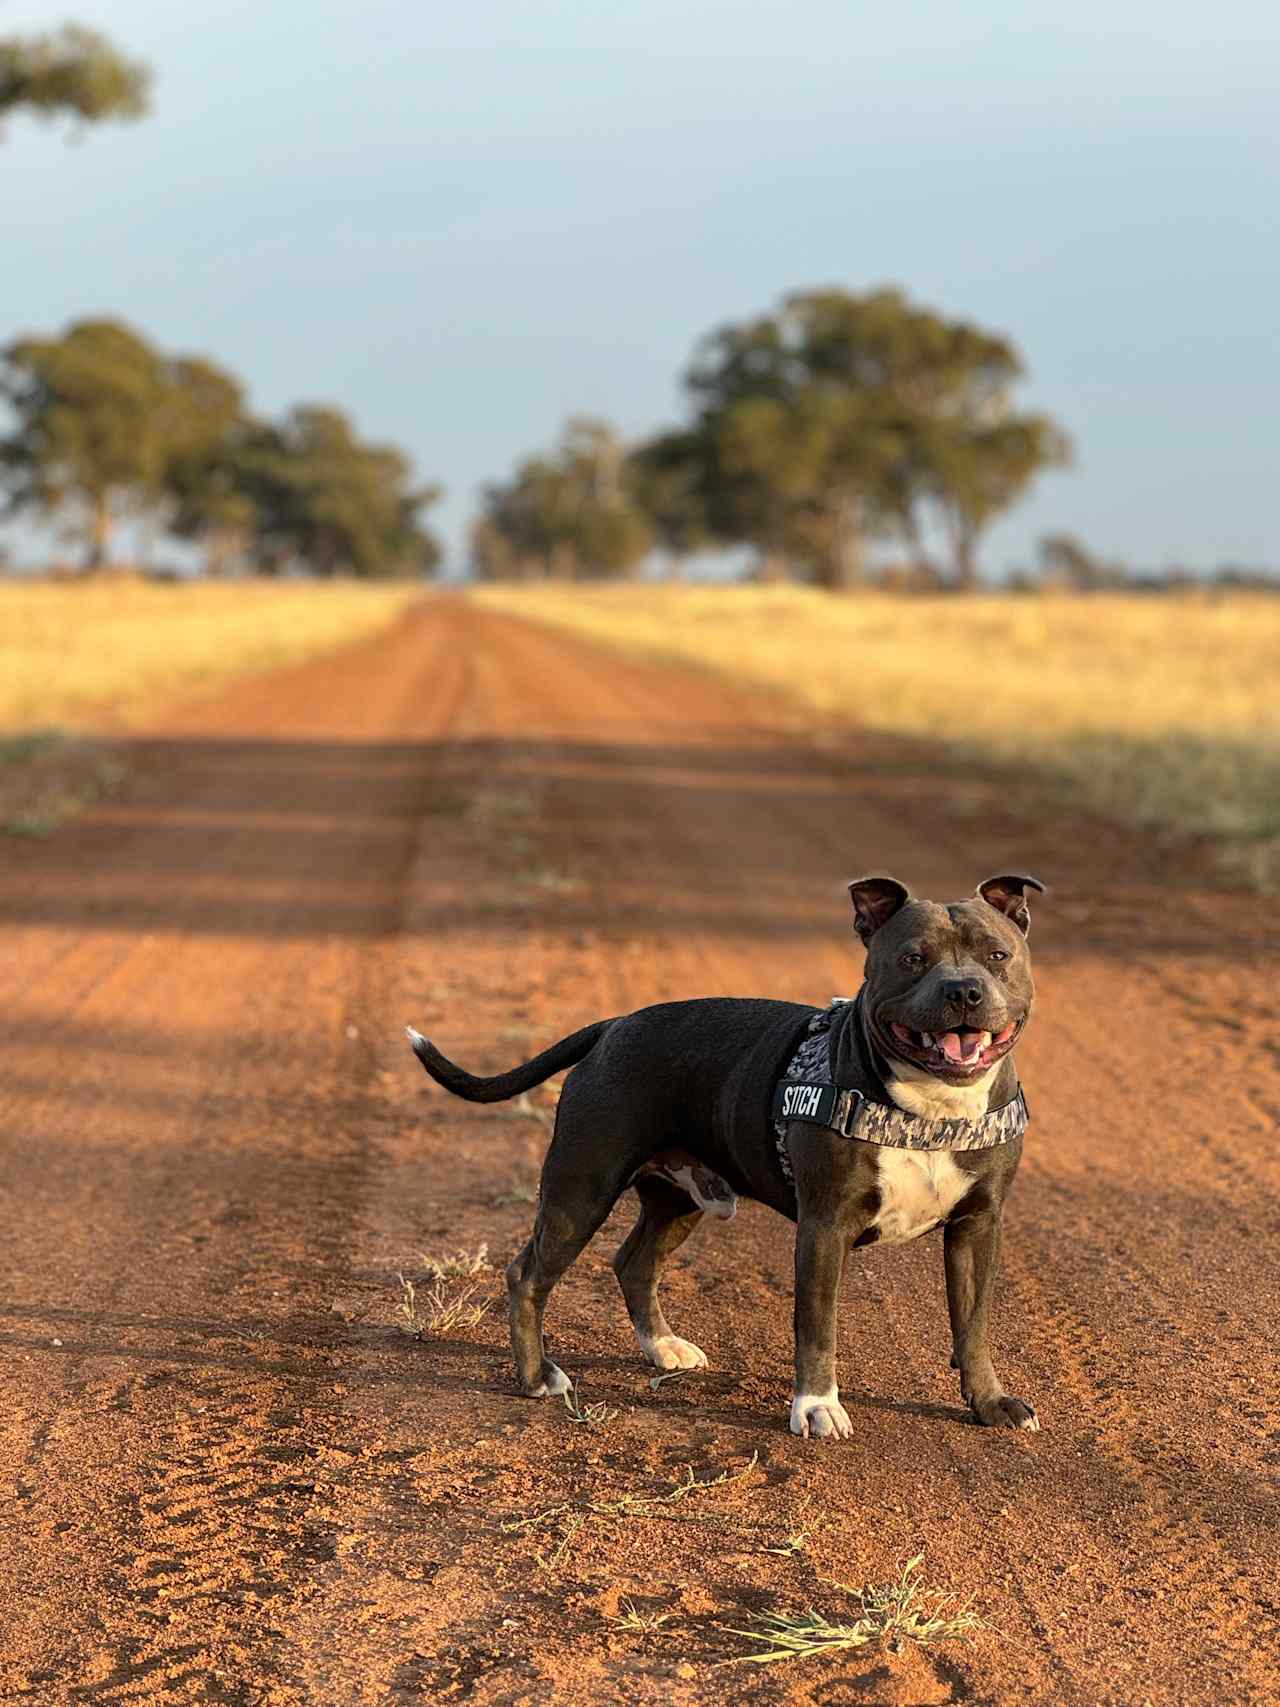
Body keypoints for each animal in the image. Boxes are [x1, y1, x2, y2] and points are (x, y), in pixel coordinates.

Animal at [406, 867, 1044, 1440]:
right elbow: (817, 1326)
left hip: (680, 1198)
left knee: (634, 1263)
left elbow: (973, 1324)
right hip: (581, 1188)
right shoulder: (825, 1227)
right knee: (528, 1275)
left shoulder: (977, 1226)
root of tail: (614, 1025)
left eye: (997, 956)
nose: (963, 990)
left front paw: (989, 1403)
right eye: (913, 959)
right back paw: (538, 1378)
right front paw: (816, 1408)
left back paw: (662, 1347)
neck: (931, 1108)